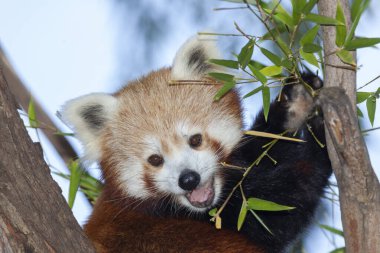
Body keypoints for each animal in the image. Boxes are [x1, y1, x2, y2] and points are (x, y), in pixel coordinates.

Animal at [61, 36, 330, 253]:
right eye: (155, 159)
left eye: (195, 140)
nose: (188, 179)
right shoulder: (223, 217)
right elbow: (285, 206)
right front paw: (322, 143)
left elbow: (262, 149)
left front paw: (294, 102)